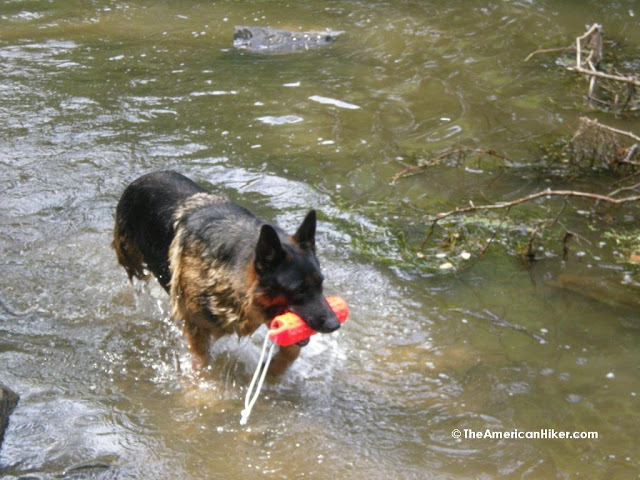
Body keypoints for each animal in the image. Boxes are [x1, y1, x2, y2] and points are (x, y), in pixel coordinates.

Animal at [111, 170, 340, 376]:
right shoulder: (195, 328)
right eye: (299, 290)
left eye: (320, 284)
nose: (335, 324)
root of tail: (143, 177)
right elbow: (202, 365)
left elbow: (292, 349)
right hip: (134, 265)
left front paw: (273, 371)